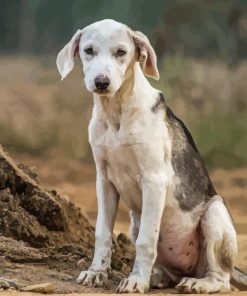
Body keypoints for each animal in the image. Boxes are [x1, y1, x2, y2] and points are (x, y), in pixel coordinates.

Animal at [56, 19, 247, 294]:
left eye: (121, 52)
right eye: (88, 50)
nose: (101, 82)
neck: (116, 112)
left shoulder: (154, 180)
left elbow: (147, 241)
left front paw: (136, 281)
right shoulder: (104, 181)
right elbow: (102, 233)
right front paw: (96, 272)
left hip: (214, 214)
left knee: (222, 279)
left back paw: (197, 283)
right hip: (135, 221)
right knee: (169, 271)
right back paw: (158, 276)